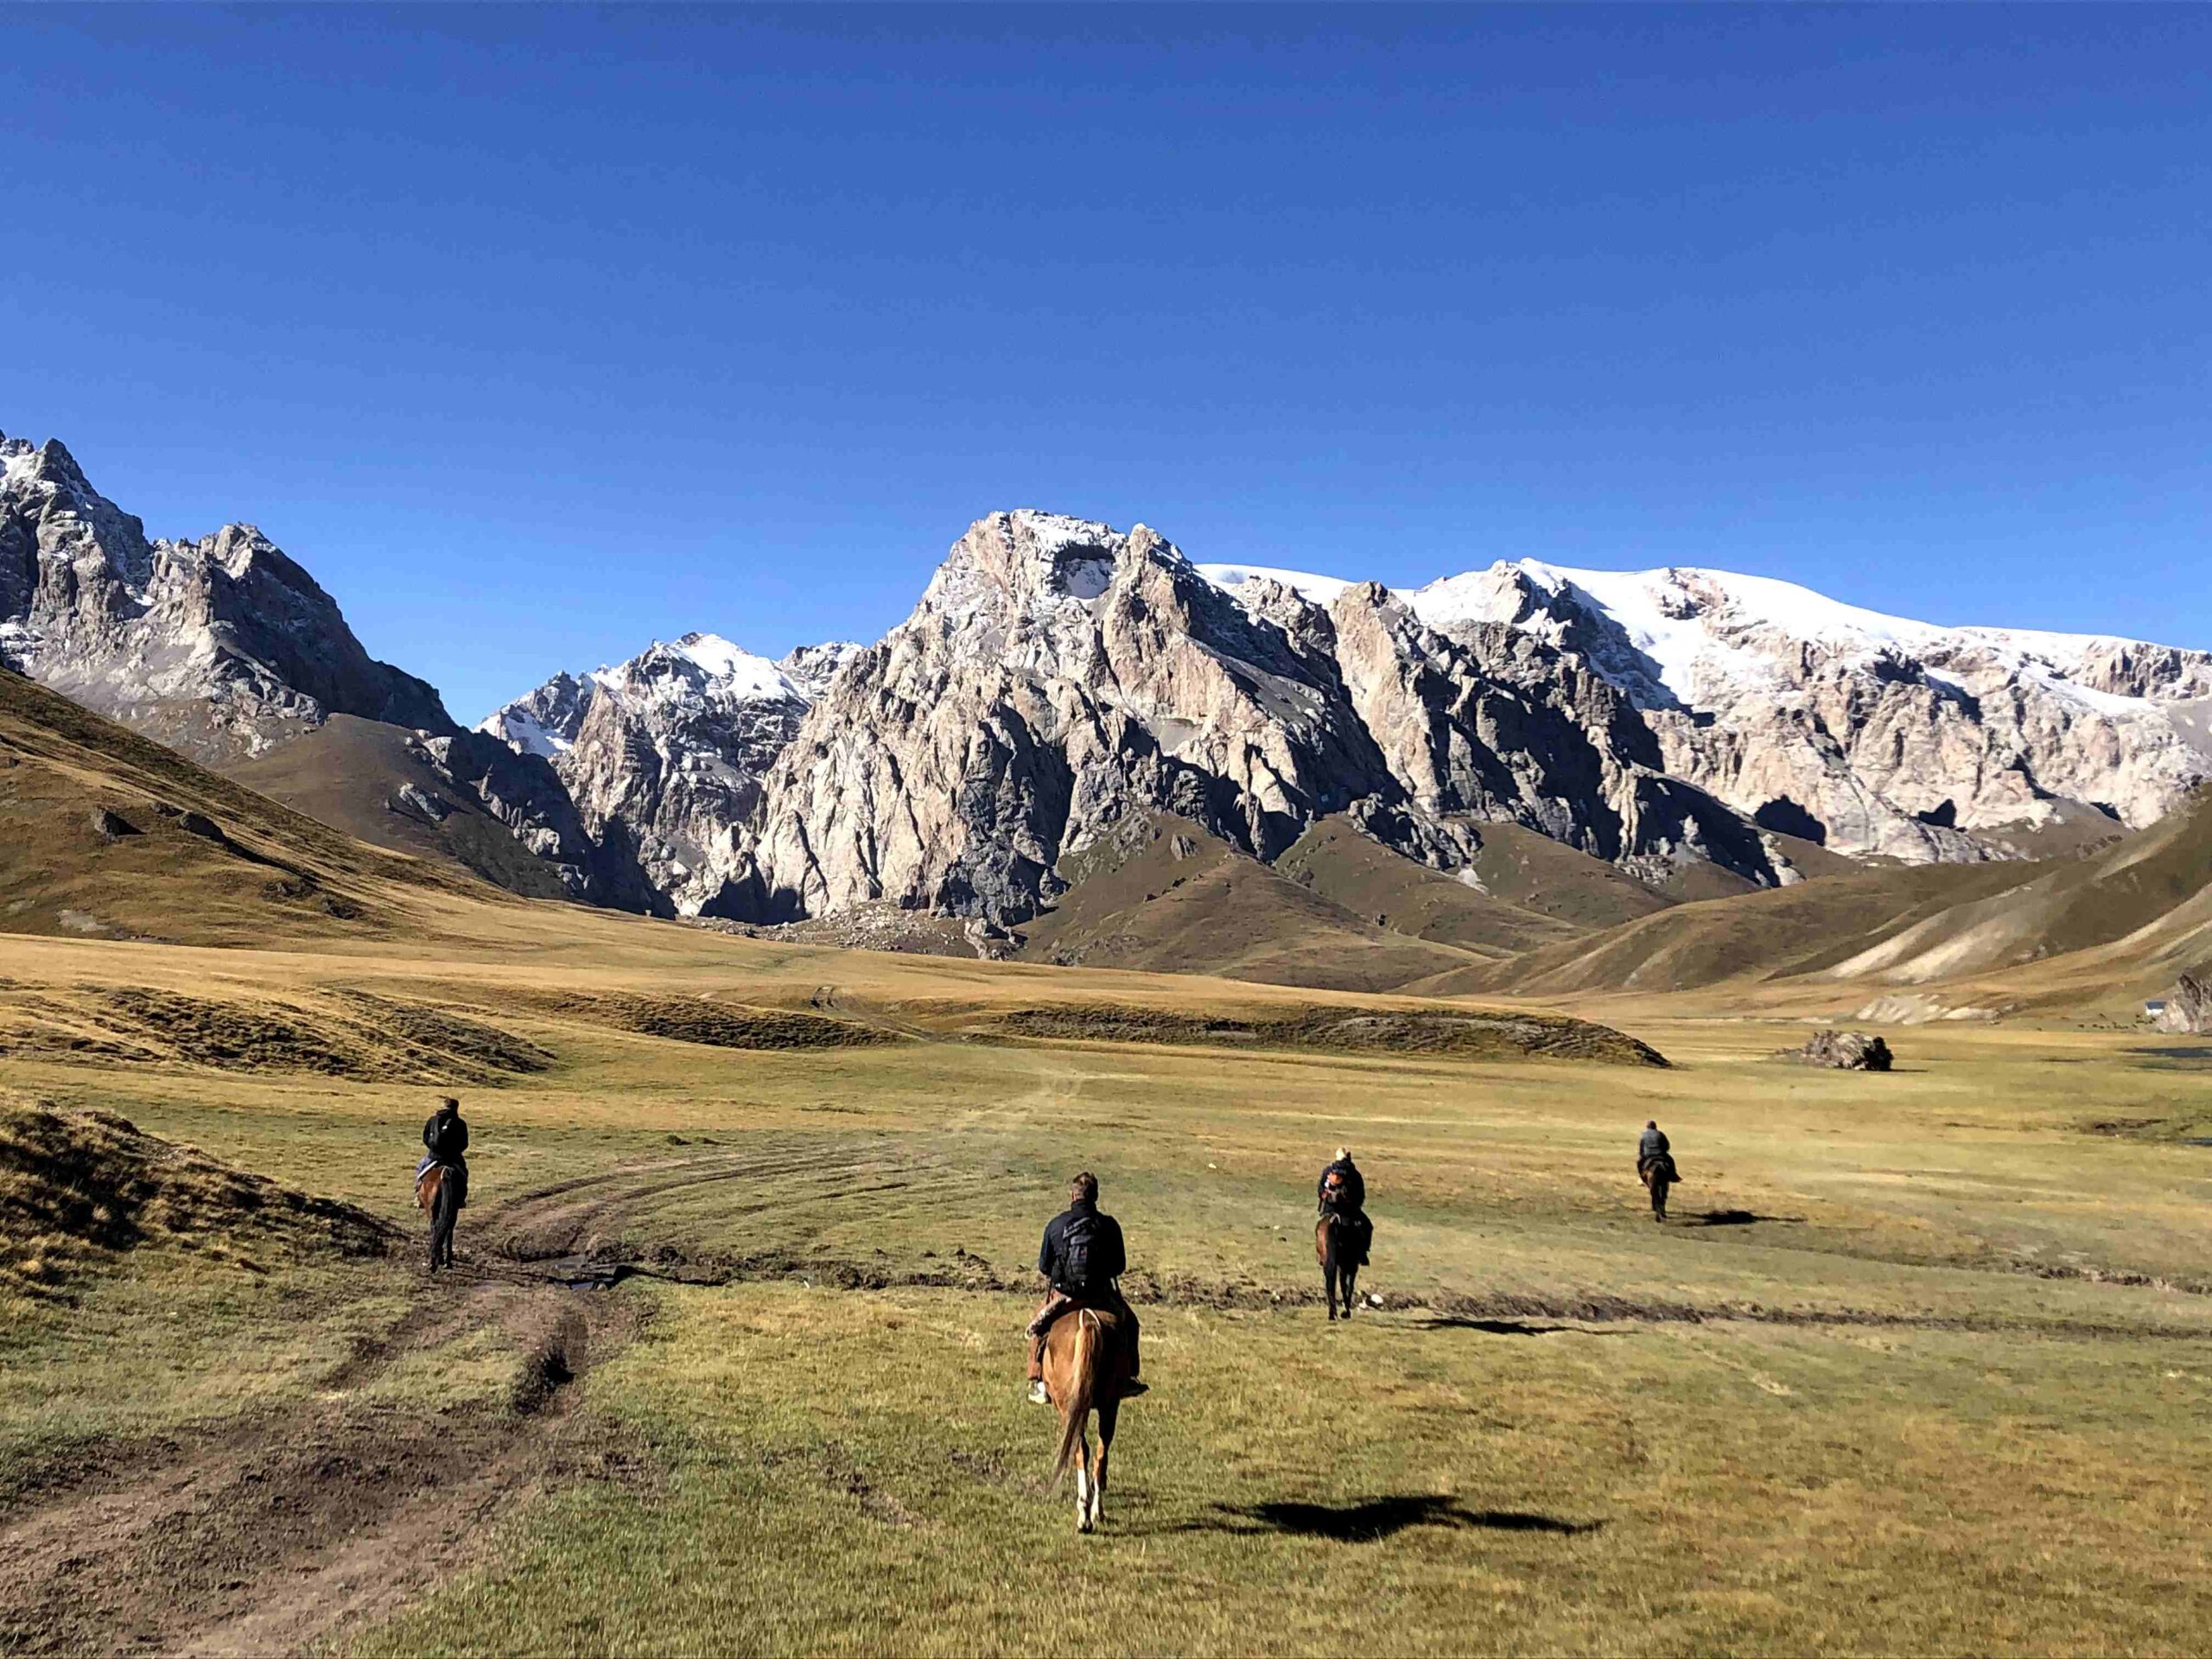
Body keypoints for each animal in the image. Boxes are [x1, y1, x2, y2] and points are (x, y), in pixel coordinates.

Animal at [1044, 1309, 1132, 1539]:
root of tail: (1088, 1323)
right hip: (1109, 1405)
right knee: (1101, 1453)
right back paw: (1096, 1511)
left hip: (1070, 1406)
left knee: (1080, 1450)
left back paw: (1084, 1515)